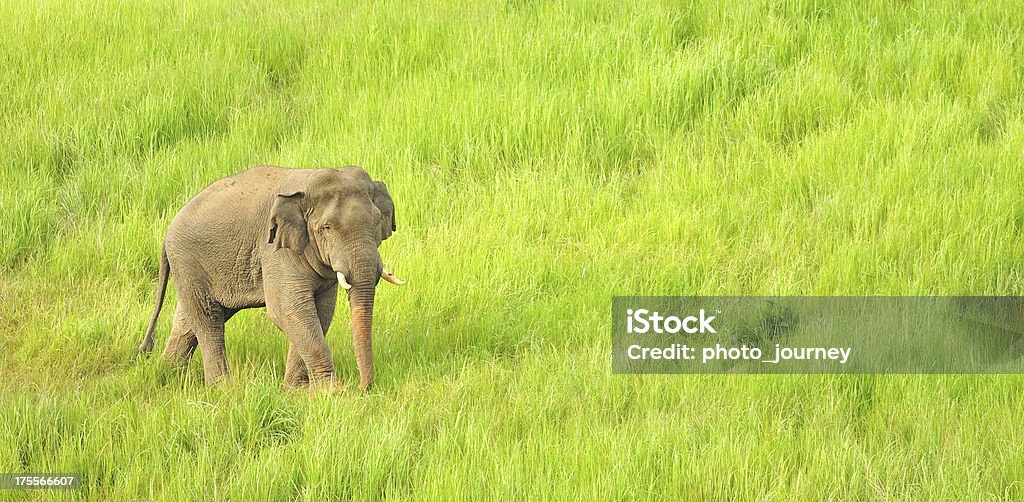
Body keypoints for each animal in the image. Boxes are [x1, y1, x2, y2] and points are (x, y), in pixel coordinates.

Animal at [135, 166, 403, 389]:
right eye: (326, 228)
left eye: (377, 221)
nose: (361, 388)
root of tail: (167, 232)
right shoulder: (275, 249)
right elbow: (289, 310)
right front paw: (330, 391)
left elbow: (321, 311)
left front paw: (297, 390)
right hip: (187, 260)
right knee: (208, 319)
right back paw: (222, 388)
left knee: (188, 320)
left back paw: (168, 373)